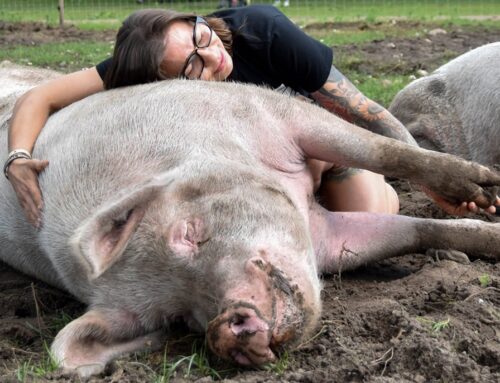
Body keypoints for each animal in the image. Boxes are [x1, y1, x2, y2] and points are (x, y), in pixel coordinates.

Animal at [0, 66, 498, 378]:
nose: (227, 327)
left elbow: (381, 153)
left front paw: (483, 194)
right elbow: (413, 231)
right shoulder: (327, 241)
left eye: (189, 234)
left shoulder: (269, 110)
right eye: (178, 317)